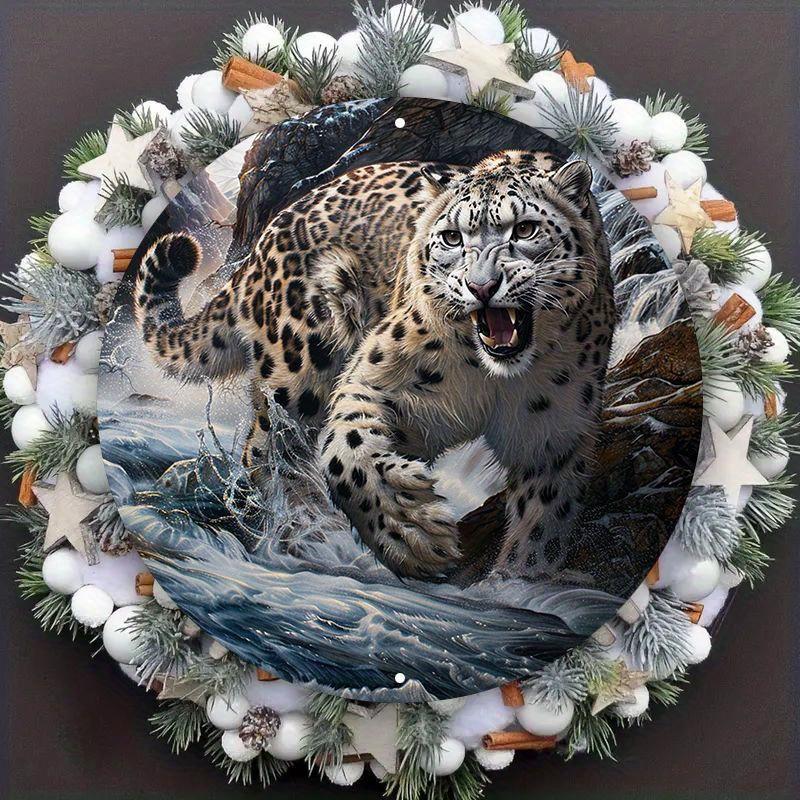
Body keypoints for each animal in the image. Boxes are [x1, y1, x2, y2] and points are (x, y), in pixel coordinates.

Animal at [133, 150, 616, 582]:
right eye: (452, 238)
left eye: (526, 229)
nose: (482, 286)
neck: (493, 379)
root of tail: (262, 243)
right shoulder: (378, 378)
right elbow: (346, 449)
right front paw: (415, 535)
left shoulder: (551, 436)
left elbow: (543, 520)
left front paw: (518, 580)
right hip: (300, 367)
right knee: (268, 450)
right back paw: (310, 533)